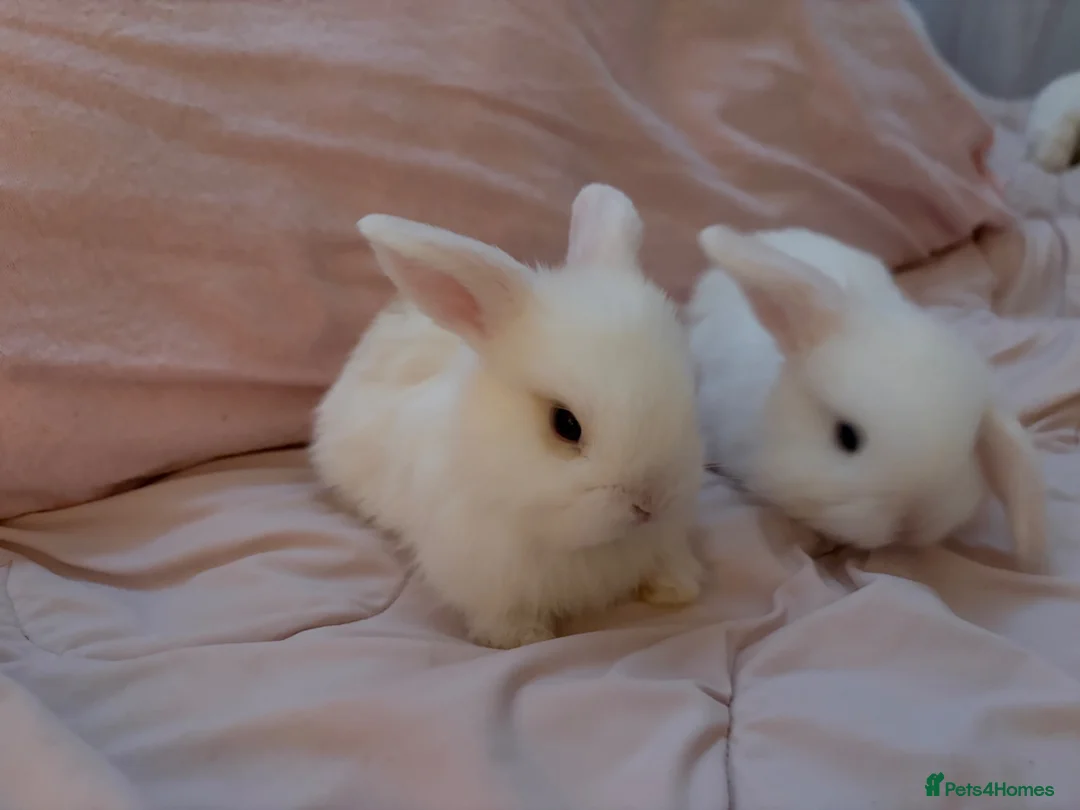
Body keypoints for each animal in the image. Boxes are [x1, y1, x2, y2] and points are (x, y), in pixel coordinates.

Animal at [311, 184, 706, 649]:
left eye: (688, 392)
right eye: (565, 424)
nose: (650, 502)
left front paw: (678, 590)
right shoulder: (485, 574)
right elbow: (504, 614)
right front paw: (521, 638)